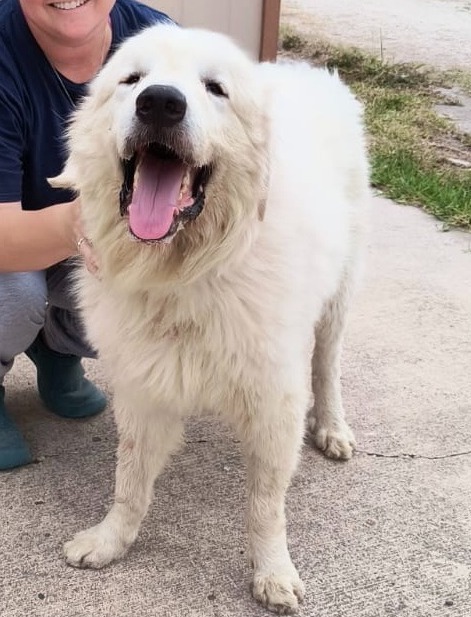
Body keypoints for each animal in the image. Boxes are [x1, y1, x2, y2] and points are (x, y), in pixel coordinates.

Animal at [53, 22, 370, 612]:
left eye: (215, 88)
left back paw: (332, 426)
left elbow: (266, 505)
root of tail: (308, 72)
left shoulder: (274, 403)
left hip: (339, 297)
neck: (182, 273)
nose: (160, 103)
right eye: (133, 79)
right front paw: (111, 541)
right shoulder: (143, 389)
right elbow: (129, 480)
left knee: (327, 366)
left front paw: (272, 571)